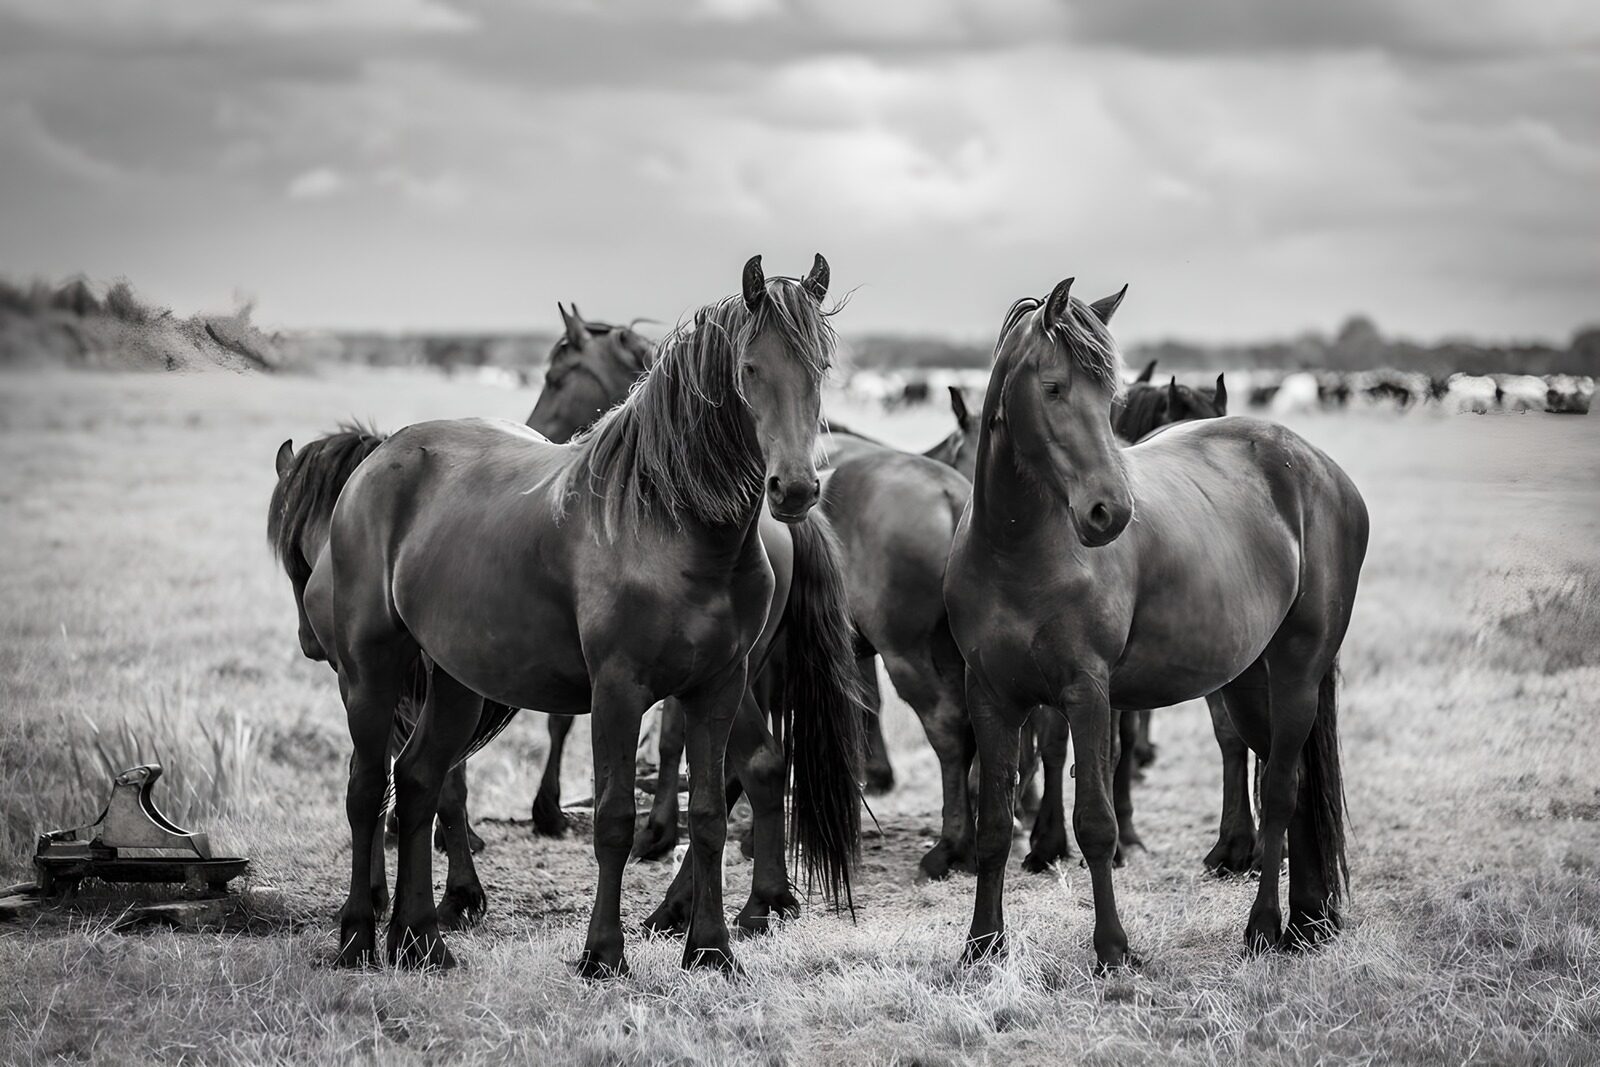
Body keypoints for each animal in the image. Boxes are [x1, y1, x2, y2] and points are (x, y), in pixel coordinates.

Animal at [315, 255, 863, 973]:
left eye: (820, 367)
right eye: (750, 368)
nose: (794, 489)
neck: (668, 524)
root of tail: (380, 459)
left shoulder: (716, 687)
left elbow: (710, 814)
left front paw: (710, 949)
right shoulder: (618, 692)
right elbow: (613, 819)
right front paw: (603, 954)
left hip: (457, 682)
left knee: (417, 782)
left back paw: (420, 941)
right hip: (369, 672)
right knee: (366, 790)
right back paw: (357, 936)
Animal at [945, 278, 1367, 969]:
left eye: (1109, 399)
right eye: (1054, 387)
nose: (1109, 512)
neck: (1016, 550)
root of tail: (1321, 469)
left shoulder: (1088, 694)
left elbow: (1097, 822)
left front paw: (1113, 949)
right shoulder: (990, 696)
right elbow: (993, 826)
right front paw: (982, 947)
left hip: (1299, 669)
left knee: (1281, 789)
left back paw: (1264, 927)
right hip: (1248, 682)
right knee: (1295, 783)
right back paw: (1307, 922)